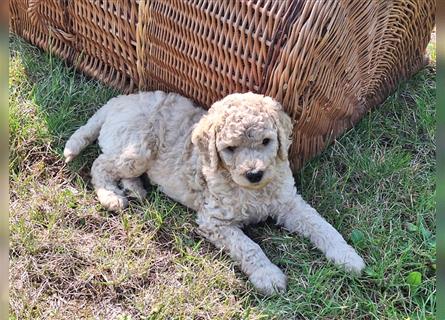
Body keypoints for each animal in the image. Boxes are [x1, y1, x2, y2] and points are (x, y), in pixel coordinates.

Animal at [65, 90, 364, 296]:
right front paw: (268, 275)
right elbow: (249, 246)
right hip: (137, 149)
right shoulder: (215, 221)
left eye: (266, 141)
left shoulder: (289, 202)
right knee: (100, 164)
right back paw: (112, 197)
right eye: (230, 148)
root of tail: (118, 101)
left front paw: (347, 256)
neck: (250, 190)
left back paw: (135, 189)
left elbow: (320, 225)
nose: (254, 173)